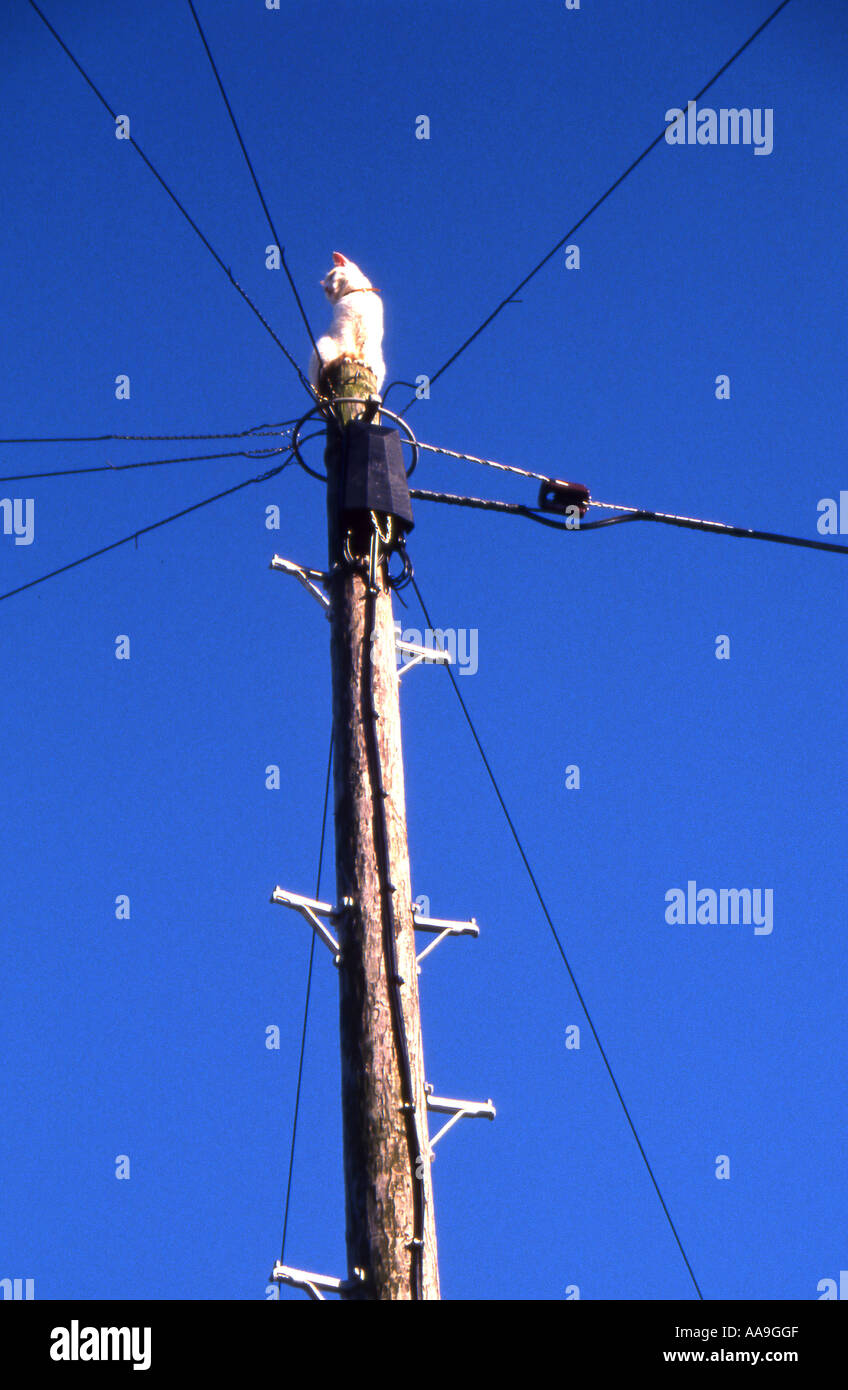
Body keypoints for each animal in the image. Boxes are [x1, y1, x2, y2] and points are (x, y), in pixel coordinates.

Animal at [308, 252, 383, 394]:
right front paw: (349, 358)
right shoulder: (344, 325)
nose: (327, 289)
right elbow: (346, 344)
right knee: (324, 371)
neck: (357, 296)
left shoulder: (370, 333)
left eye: (331, 276)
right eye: (325, 290)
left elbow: (364, 352)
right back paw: (343, 360)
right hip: (324, 343)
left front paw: (362, 362)